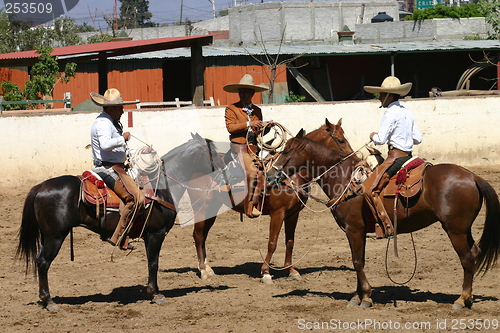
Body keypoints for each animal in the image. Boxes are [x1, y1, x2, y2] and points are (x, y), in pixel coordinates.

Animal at [17, 161, 177, 312]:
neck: (162, 190)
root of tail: (40, 186)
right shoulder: (156, 233)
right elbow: (153, 263)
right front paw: (155, 294)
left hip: (46, 236)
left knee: (39, 259)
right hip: (55, 237)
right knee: (43, 262)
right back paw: (49, 301)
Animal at [162, 118, 350, 282]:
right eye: (340, 140)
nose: (351, 158)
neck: (290, 175)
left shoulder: (292, 214)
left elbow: (290, 242)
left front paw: (291, 270)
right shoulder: (278, 213)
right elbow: (272, 242)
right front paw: (266, 273)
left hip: (213, 208)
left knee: (203, 235)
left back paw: (208, 268)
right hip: (203, 206)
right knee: (198, 235)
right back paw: (203, 271)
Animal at [270, 130, 500, 308]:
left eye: (287, 151)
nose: (271, 176)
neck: (345, 179)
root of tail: (473, 176)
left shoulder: (354, 229)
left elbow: (356, 262)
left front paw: (365, 297)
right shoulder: (358, 231)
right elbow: (359, 261)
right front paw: (357, 296)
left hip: (455, 230)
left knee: (467, 258)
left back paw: (461, 300)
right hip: (464, 229)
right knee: (474, 253)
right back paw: (468, 298)